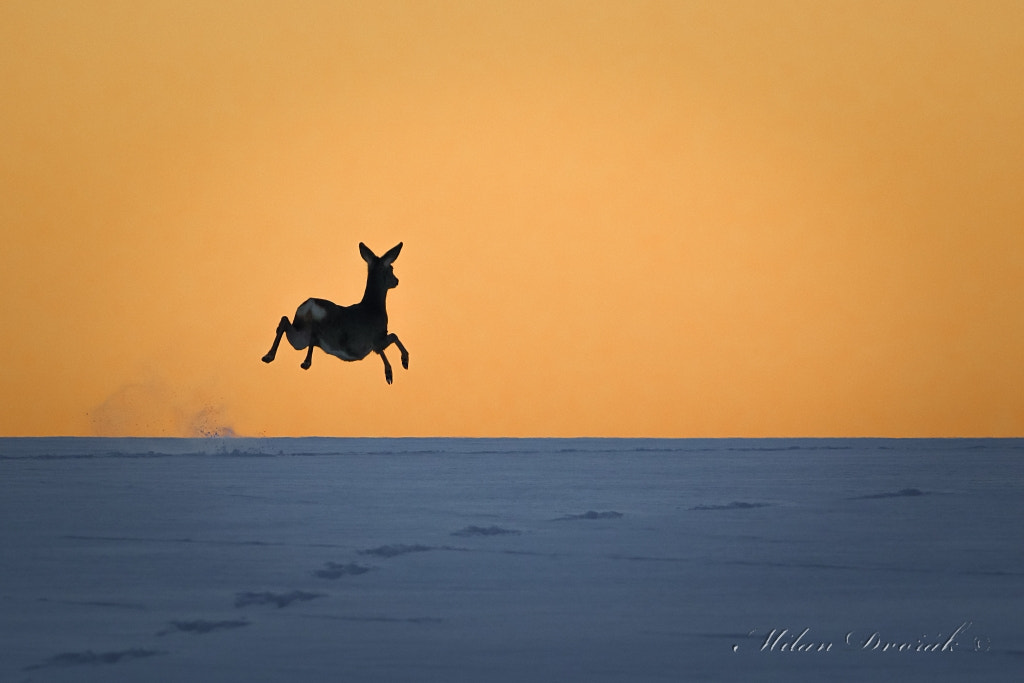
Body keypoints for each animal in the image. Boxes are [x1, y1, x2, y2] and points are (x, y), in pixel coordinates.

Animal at [260, 241, 407, 385]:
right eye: (391, 268)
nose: (397, 281)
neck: (373, 307)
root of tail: (309, 305)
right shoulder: (377, 338)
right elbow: (393, 337)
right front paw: (398, 367)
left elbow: (389, 342)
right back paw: (302, 361)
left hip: (300, 337)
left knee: (287, 322)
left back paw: (270, 356)